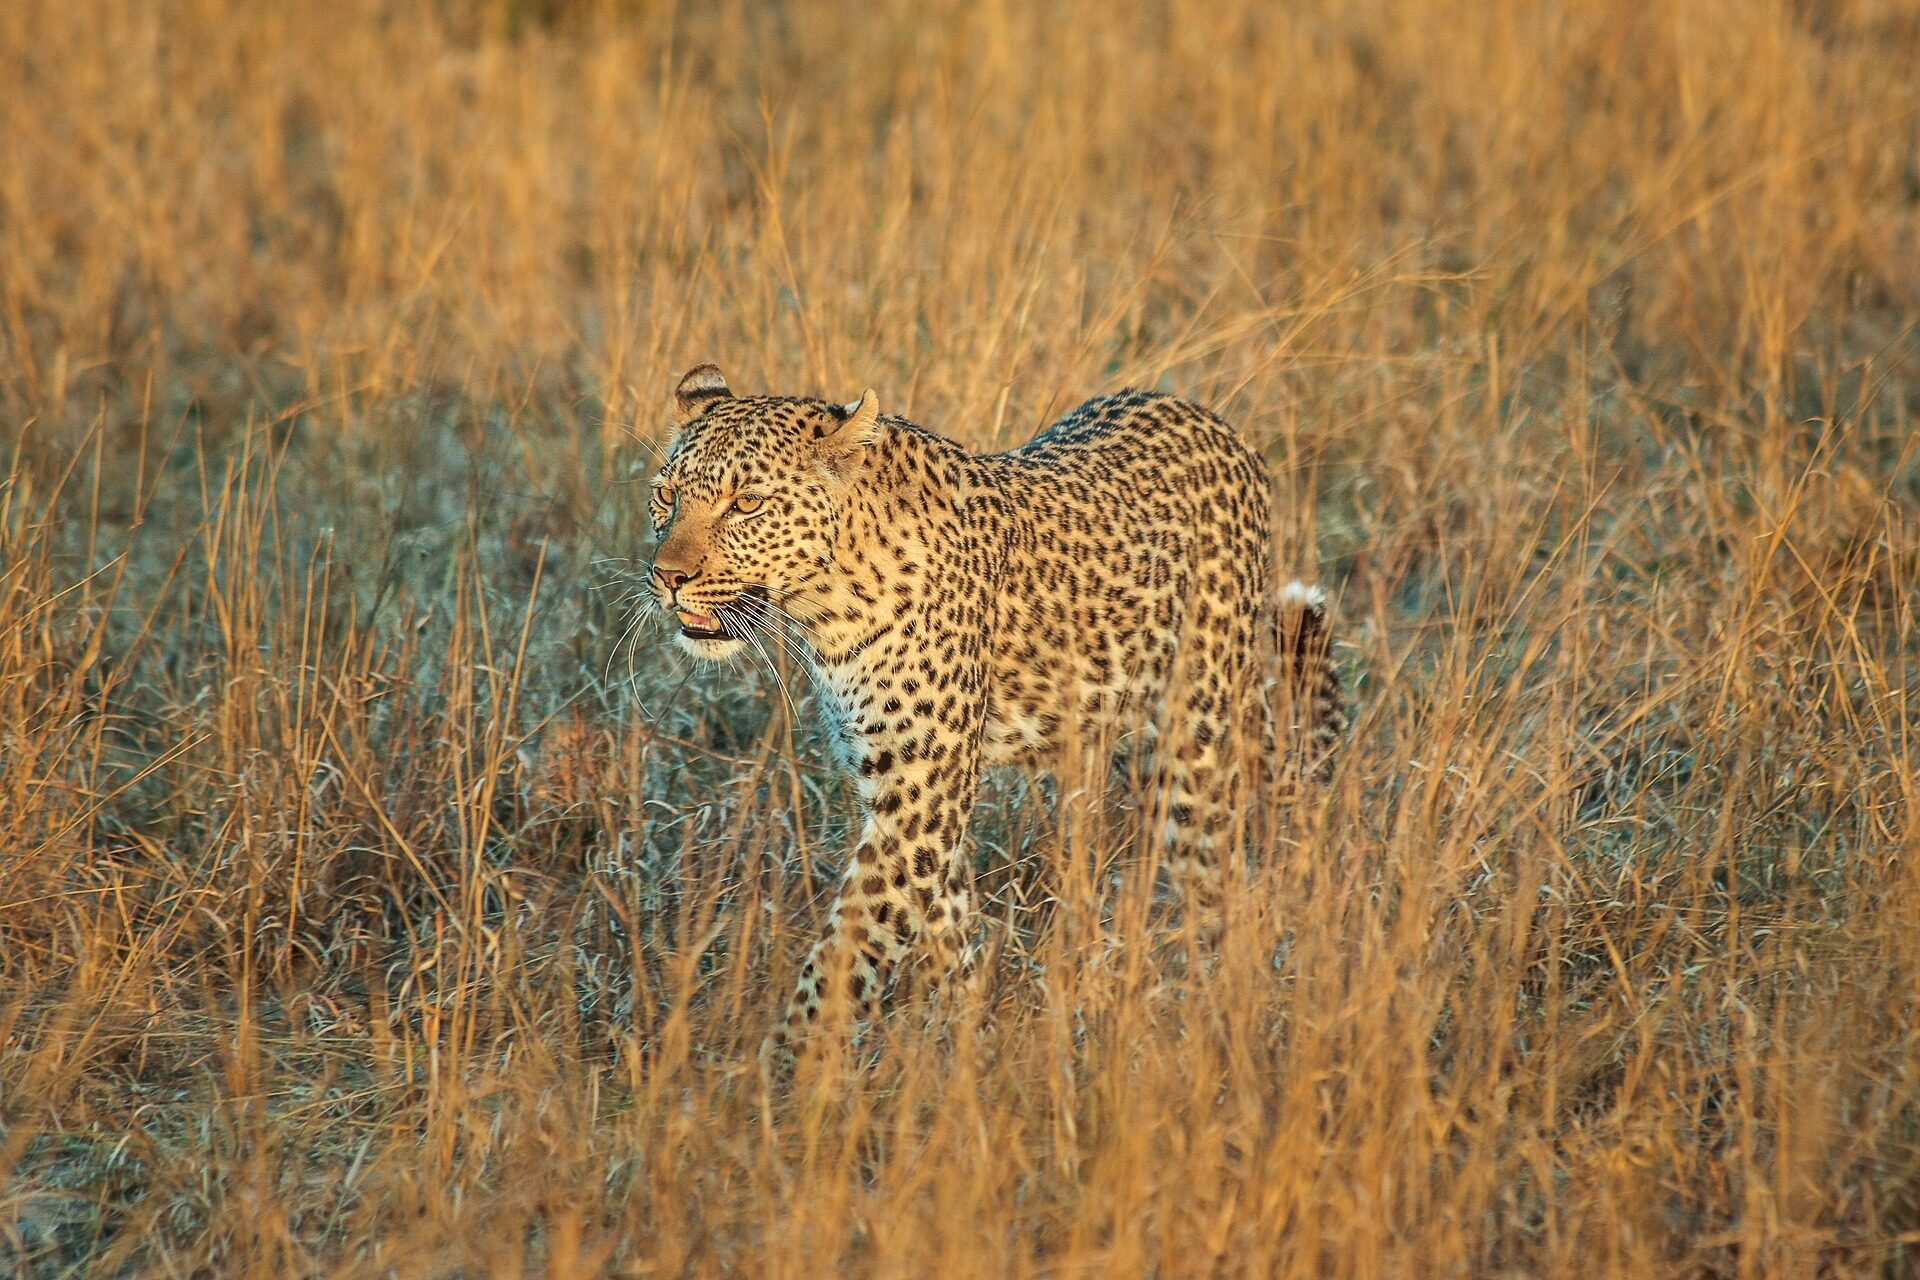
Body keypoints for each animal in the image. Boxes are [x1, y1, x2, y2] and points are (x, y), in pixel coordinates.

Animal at [637, 360, 1344, 1059]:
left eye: (747, 503)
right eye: (666, 496)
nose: (667, 577)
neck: (826, 606)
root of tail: (1221, 427)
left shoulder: (919, 800)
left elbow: (845, 953)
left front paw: (781, 1071)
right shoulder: (908, 794)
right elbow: (941, 928)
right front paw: (966, 1040)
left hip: (1196, 744)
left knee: (1220, 882)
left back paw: (1218, 1007)